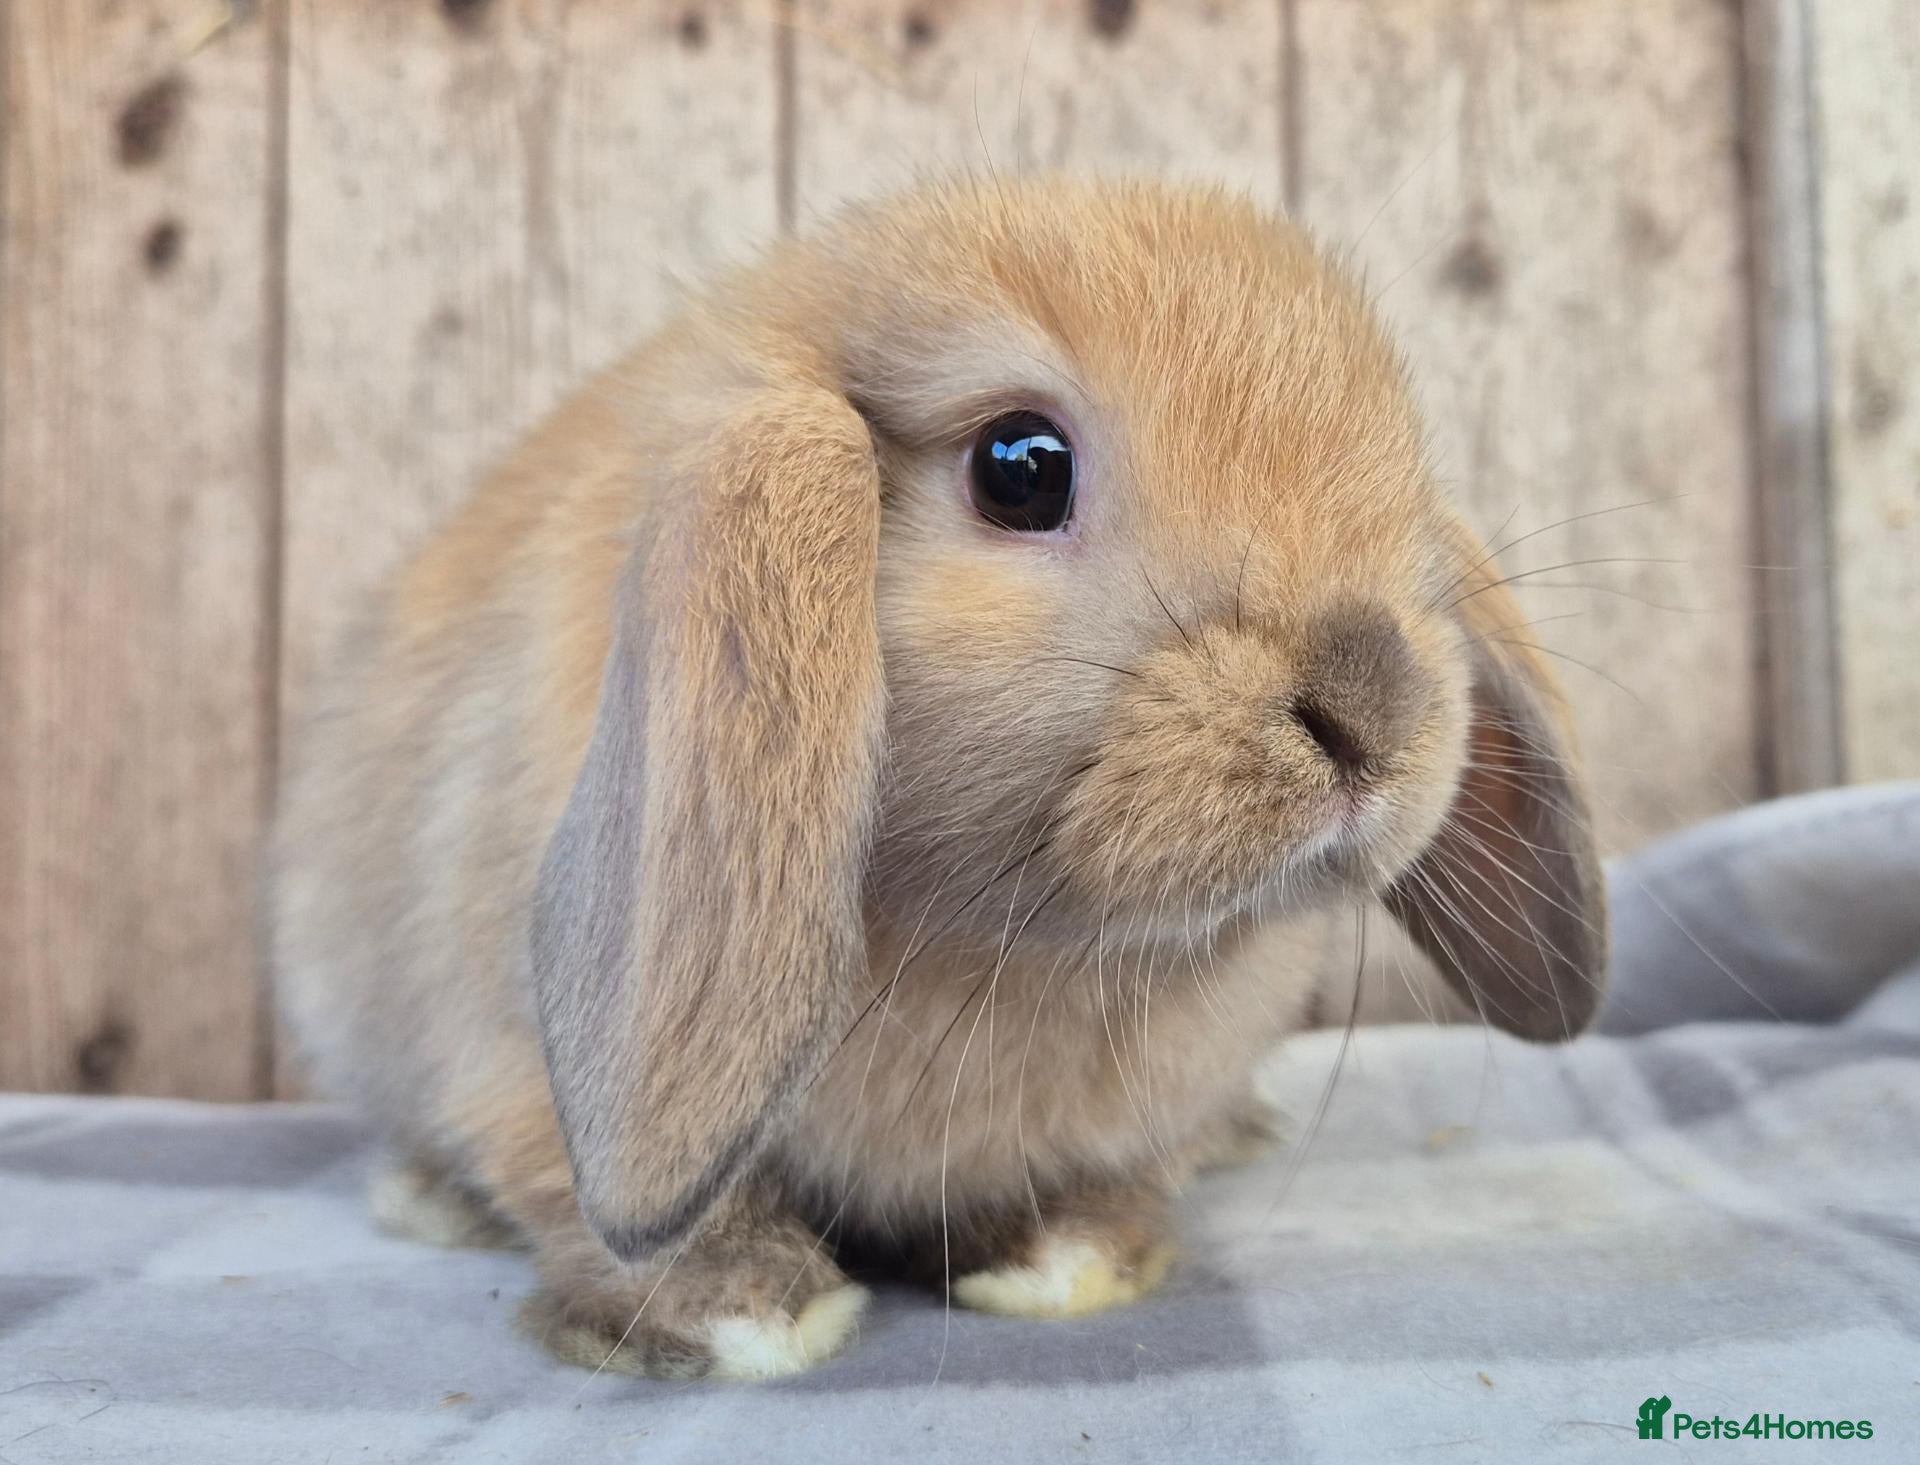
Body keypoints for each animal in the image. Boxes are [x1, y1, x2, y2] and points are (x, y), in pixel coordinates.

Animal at [271, 175, 1607, 1381]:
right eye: (1020, 466)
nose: (1375, 701)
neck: (1011, 944)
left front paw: (1072, 1256)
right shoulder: (515, 1068)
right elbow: (595, 1199)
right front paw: (739, 1312)